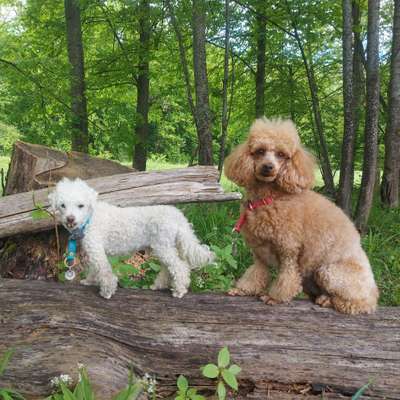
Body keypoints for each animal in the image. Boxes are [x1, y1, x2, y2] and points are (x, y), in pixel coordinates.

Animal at [48, 177, 214, 298]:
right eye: (63, 205)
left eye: (80, 205)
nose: (70, 219)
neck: (91, 218)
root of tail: (178, 215)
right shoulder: (94, 251)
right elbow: (95, 269)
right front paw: (90, 281)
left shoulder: (96, 250)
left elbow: (104, 271)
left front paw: (107, 291)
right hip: (162, 248)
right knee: (168, 269)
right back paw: (159, 285)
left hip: (163, 247)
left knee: (180, 267)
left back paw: (179, 291)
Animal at [225, 117, 378, 314]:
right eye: (259, 151)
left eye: (282, 155)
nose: (268, 167)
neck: (270, 198)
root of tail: (373, 291)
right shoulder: (259, 253)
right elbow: (255, 273)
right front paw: (242, 289)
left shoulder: (289, 250)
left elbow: (287, 277)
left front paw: (275, 297)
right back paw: (322, 298)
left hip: (329, 272)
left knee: (359, 304)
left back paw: (331, 301)